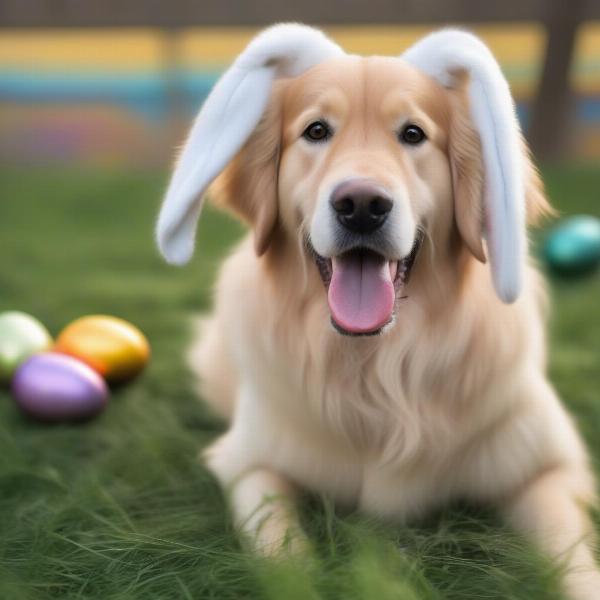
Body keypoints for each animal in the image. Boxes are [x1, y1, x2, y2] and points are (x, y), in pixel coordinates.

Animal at [156, 24, 600, 600]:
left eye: (412, 134)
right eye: (316, 130)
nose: (362, 205)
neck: (376, 366)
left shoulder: (549, 467)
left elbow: (574, 559)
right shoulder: (248, 462)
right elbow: (281, 549)